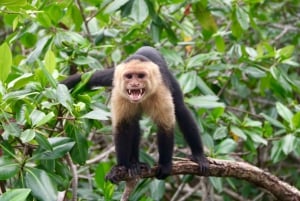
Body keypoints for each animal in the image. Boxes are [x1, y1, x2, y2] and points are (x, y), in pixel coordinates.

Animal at [61, 46, 209, 181]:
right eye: (129, 76)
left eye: (140, 76)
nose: (134, 84)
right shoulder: (119, 93)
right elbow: (123, 127)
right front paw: (121, 167)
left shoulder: (160, 89)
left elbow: (165, 126)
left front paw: (165, 165)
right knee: (133, 123)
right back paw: (134, 164)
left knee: (180, 108)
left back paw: (198, 155)